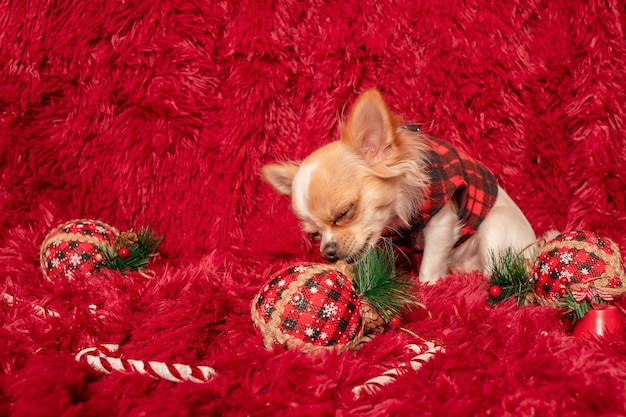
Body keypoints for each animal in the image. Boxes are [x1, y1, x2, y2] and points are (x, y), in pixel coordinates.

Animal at [260, 88, 532, 282]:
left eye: (345, 213)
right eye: (314, 234)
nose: (327, 252)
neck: (397, 213)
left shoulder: (442, 221)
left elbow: (431, 262)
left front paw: (429, 285)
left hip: (495, 228)